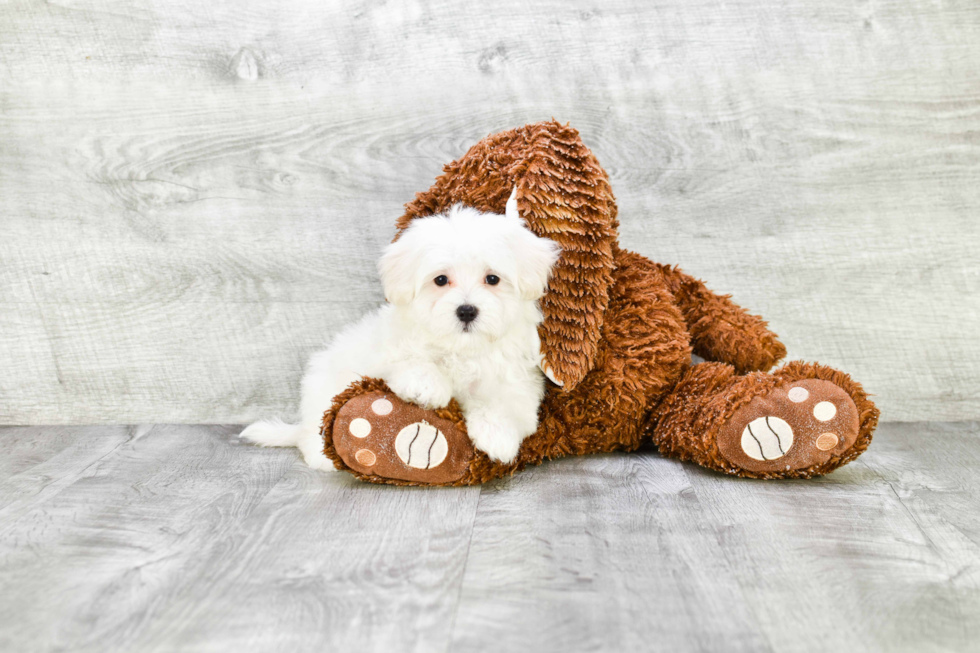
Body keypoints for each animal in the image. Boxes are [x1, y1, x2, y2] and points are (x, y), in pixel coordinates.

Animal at [242, 197, 564, 468]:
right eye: (441, 280)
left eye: (493, 279)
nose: (466, 310)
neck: (461, 349)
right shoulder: (386, 350)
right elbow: (408, 361)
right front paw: (428, 386)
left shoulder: (516, 379)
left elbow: (507, 404)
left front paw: (498, 436)